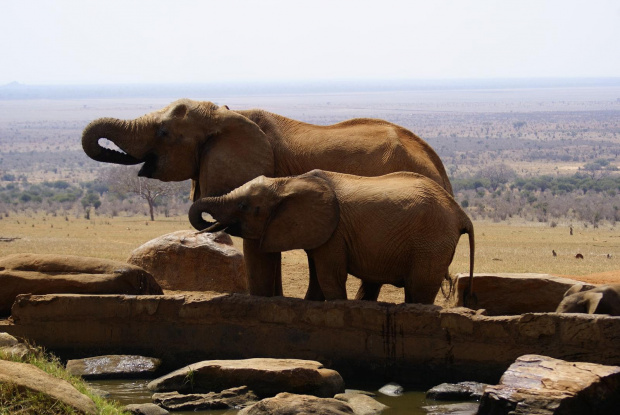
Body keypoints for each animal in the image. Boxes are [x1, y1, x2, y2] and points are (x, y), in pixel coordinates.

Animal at [189, 169, 474, 306]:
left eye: (245, 206)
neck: (288, 181)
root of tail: (460, 213)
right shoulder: (320, 231)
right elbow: (317, 276)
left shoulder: (335, 233)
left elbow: (329, 276)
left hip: (431, 241)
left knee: (419, 289)